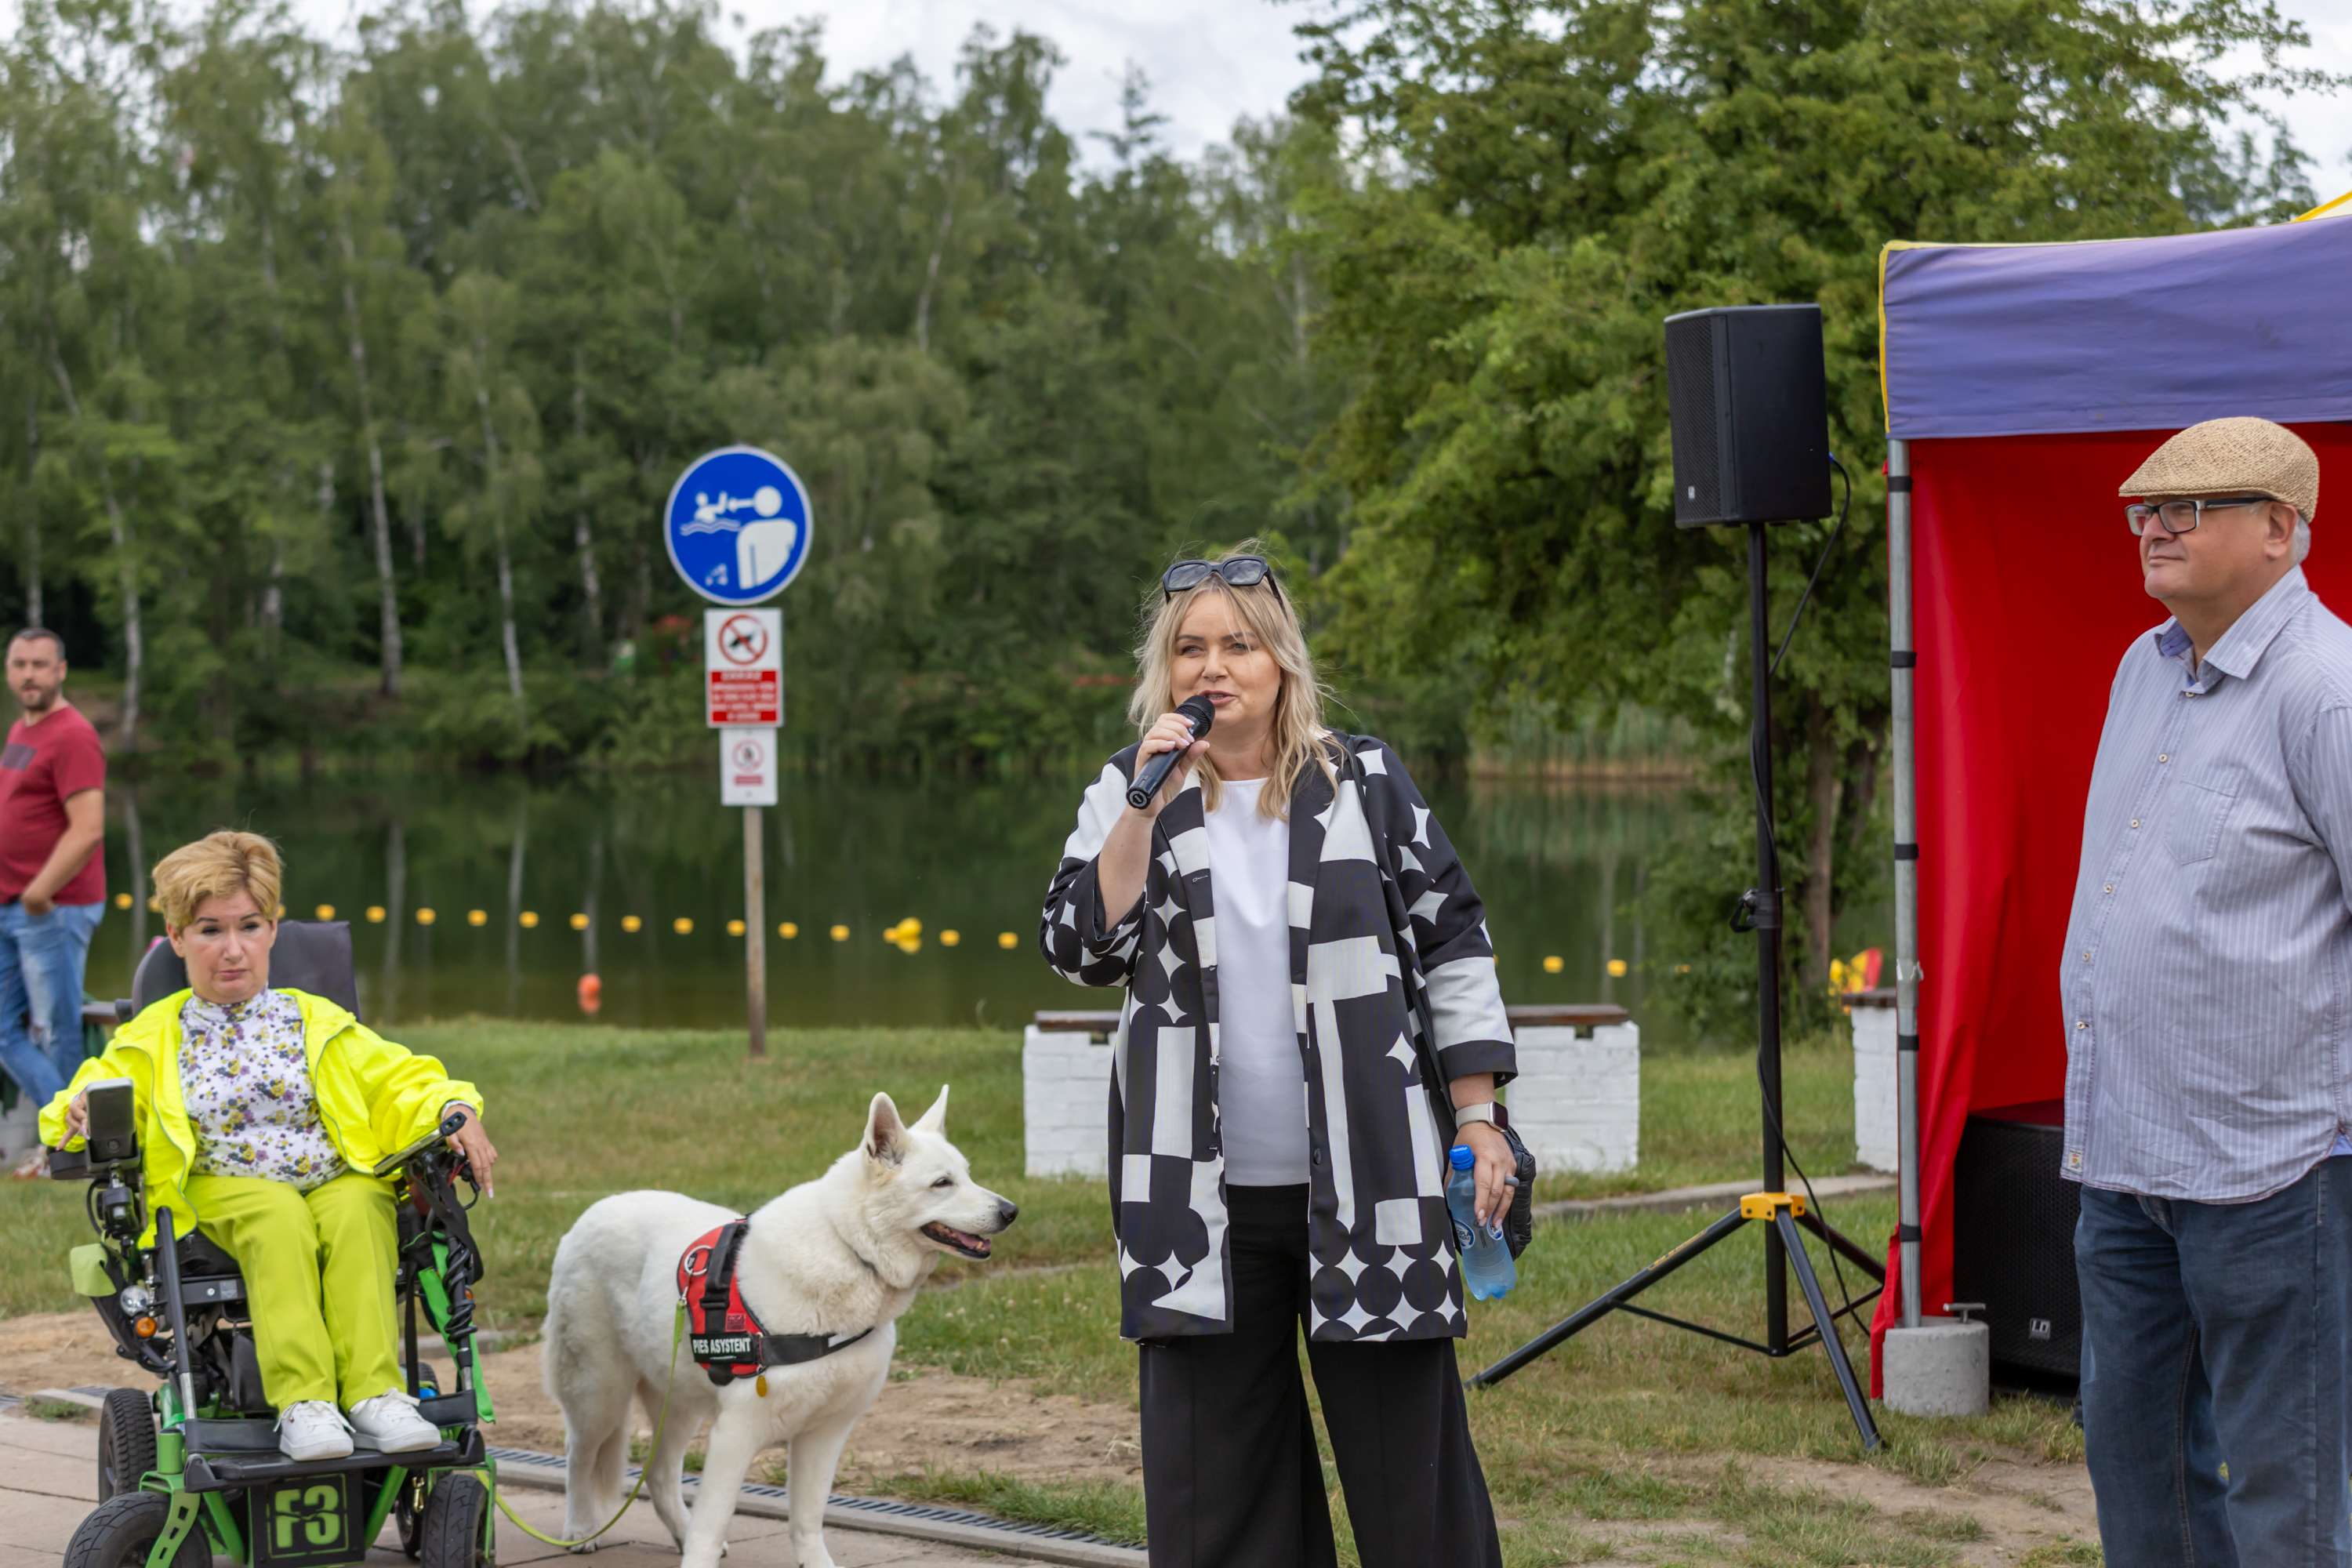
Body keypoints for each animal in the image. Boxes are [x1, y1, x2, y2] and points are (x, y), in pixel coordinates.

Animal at [546, 1086, 1016, 1568]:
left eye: (968, 1176)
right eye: (942, 1183)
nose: (1011, 1211)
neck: (848, 1249)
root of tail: (593, 1210)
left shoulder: (825, 1434)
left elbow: (807, 1522)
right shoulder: (736, 1433)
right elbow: (711, 1527)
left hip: (678, 1401)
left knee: (659, 1475)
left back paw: (673, 1530)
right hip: (599, 1395)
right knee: (578, 1455)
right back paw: (580, 1529)